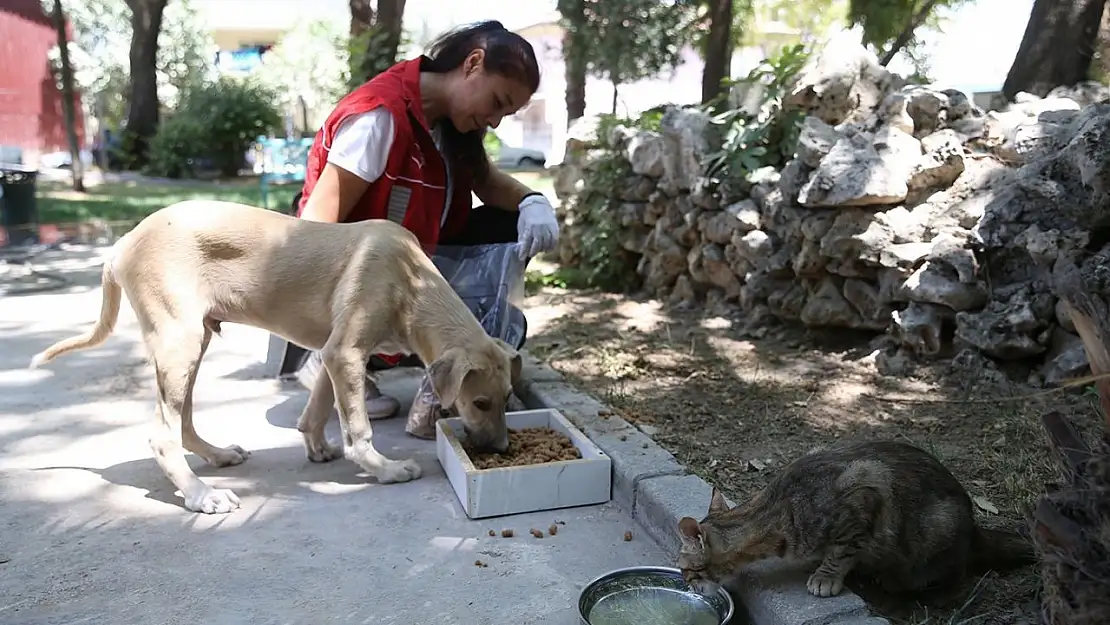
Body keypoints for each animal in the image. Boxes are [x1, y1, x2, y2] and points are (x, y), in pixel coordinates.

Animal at [29, 200, 523, 512]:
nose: (502, 449)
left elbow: (319, 409)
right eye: (479, 403)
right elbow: (358, 428)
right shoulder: (346, 352)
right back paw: (201, 495)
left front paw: (318, 447)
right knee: (162, 435)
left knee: (182, 422)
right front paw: (384, 468)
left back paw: (217, 457)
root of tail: (122, 242)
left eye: (506, 399)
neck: (412, 282)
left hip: (194, 342)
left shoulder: (335, 353)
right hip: (179, 342)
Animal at [670, 439, 1034, 599]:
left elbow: (841, 551)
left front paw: (826, 576)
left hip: (935, 532)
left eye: (686, 569)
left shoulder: (863, 491)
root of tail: (975, 528)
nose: (686, 583)